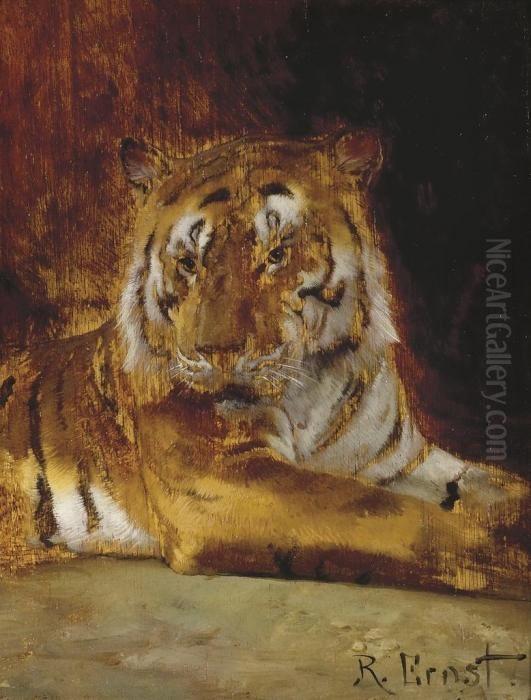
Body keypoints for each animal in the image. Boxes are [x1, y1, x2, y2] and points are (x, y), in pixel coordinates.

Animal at [0, 130, 528, 596]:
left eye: (276, 255)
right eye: (189, 263)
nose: (218, 352)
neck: (315, 384)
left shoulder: (399, 460)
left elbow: (494, 487)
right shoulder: (222, 478)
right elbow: (394, 515)